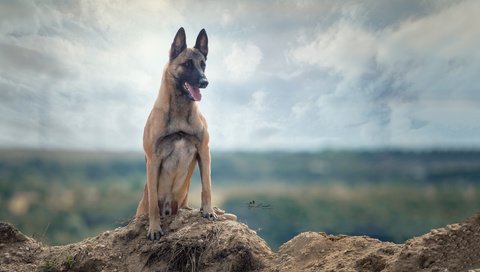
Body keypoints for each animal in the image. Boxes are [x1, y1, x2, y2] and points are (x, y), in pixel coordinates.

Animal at [136, 27, 217, 240]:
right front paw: (154, 228)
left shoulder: (204, 151)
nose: (205, 82)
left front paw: (208, 211)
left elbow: (206, 187)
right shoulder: (153, 159)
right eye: (187, 64)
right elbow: (153, 204)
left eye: (203, 65)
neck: (180, 111)